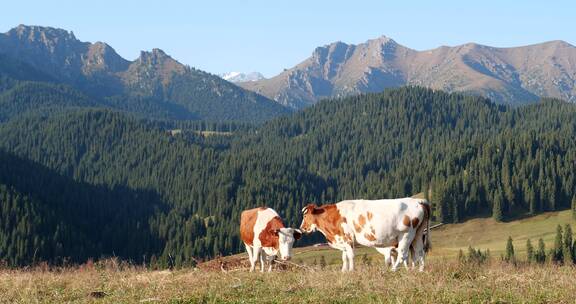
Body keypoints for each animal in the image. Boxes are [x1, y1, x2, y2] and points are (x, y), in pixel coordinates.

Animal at [300, 198, 430, 272]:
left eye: (305, 215)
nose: (302, 228)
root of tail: (418, 201)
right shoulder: (342, 240)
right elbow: (344, 257)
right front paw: (344, 271)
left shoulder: (347, 239)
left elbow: (350, 256)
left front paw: (351, 271)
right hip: (418, 234)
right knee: (420, 252)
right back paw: (420, 270)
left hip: (406, 234)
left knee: (403, 255)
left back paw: (393, 270)